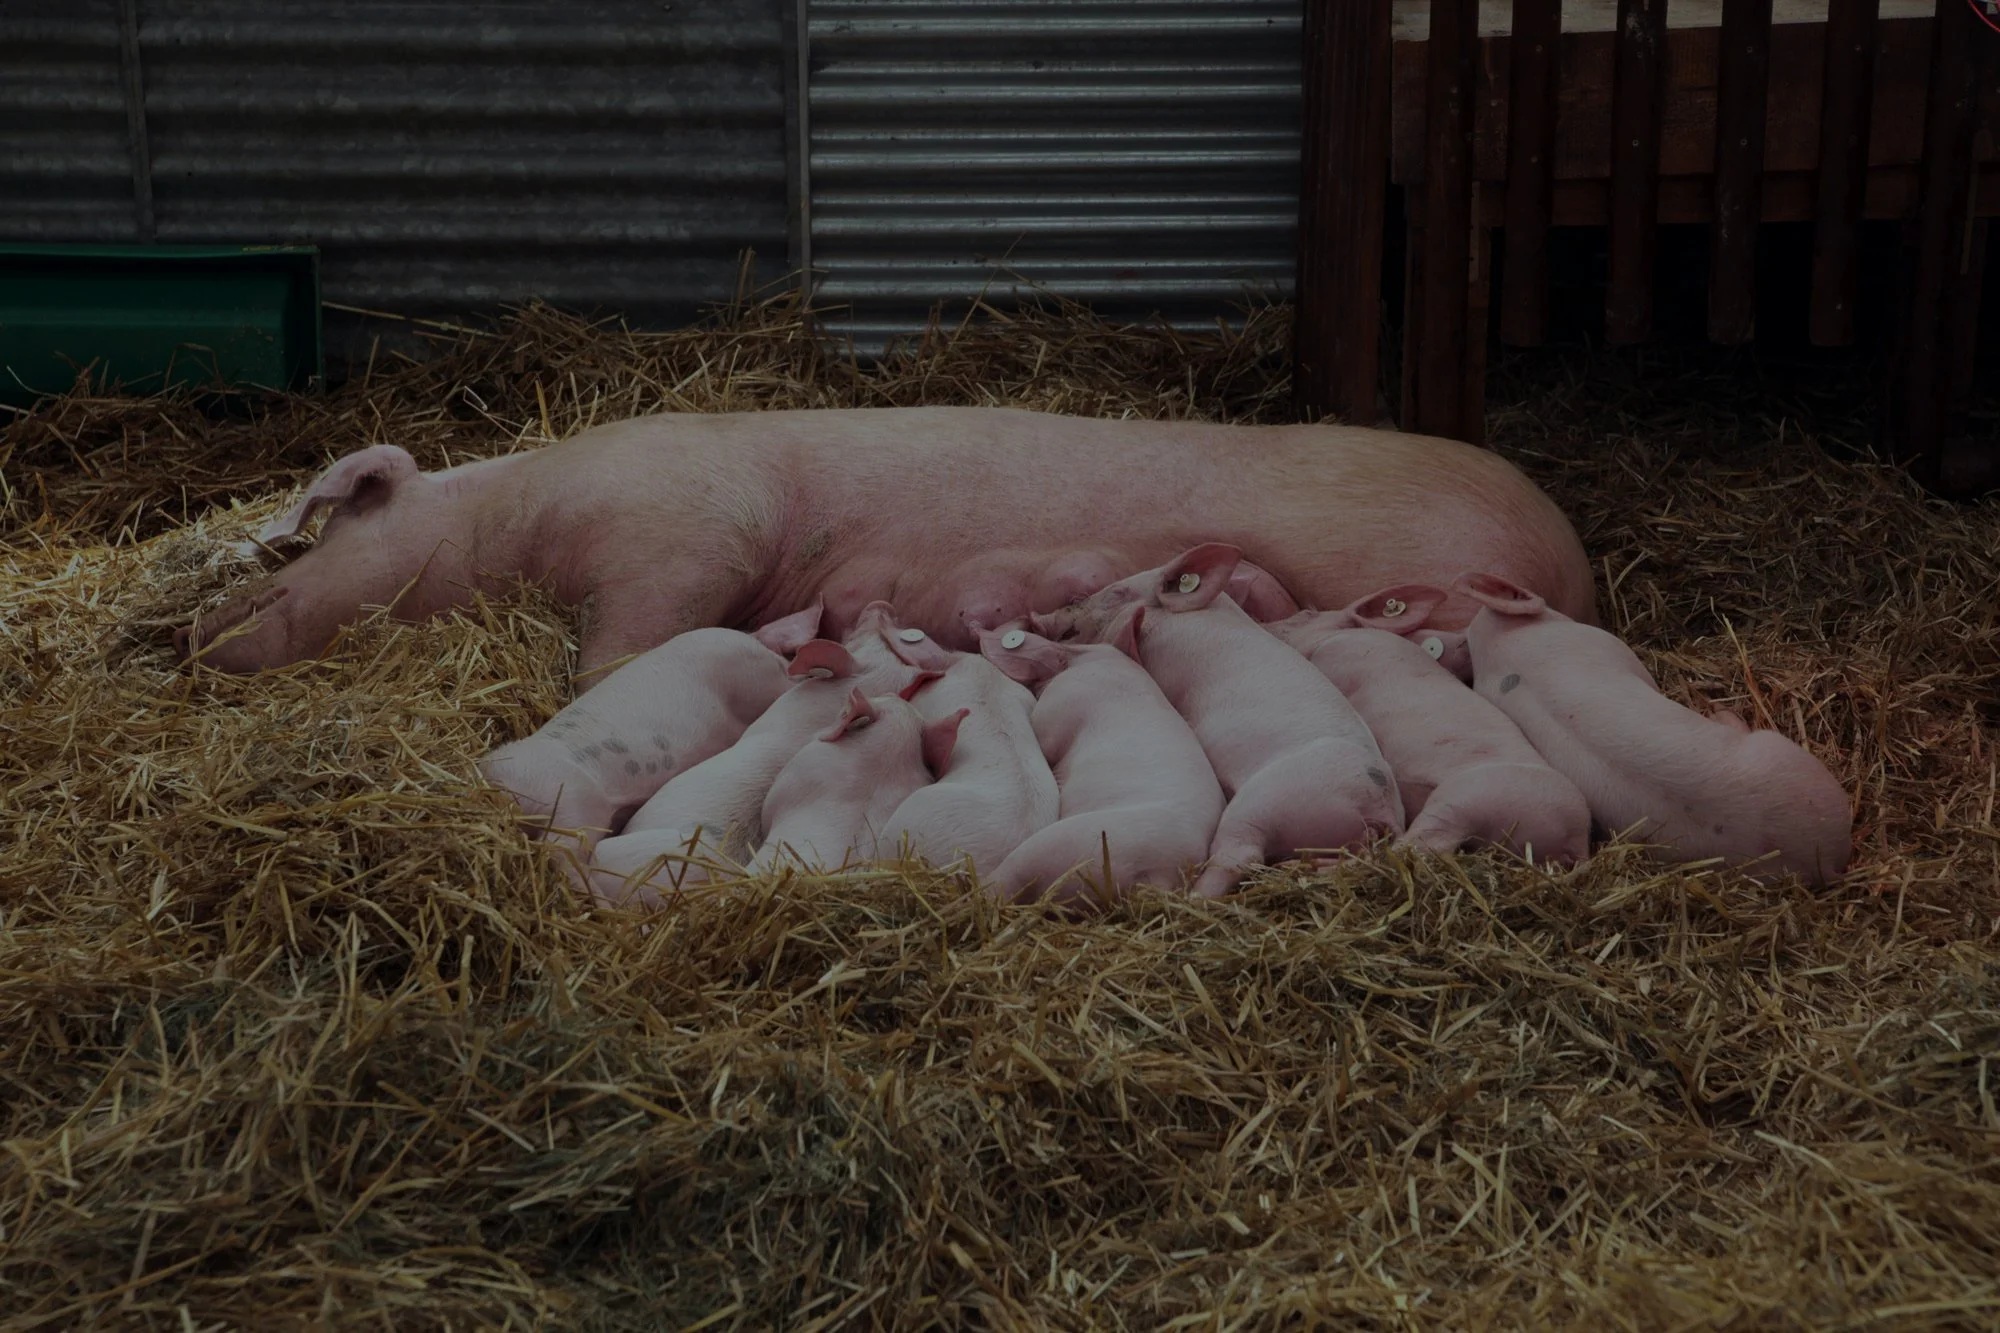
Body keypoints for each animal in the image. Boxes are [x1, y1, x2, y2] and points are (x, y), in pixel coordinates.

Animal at [1032, 543, 1405, 898]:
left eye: (1117, 593)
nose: (1039, 618)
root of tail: (1380, 807)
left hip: (1270, 800)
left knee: (1239, 855)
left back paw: (1195, 898)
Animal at [1267, 586, 1590, 864]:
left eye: (1304, 615)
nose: (1265, 623)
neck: (1332, 637)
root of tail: (1577, 837)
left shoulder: (1339, 656)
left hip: (1469, 796)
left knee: (1411, 850)